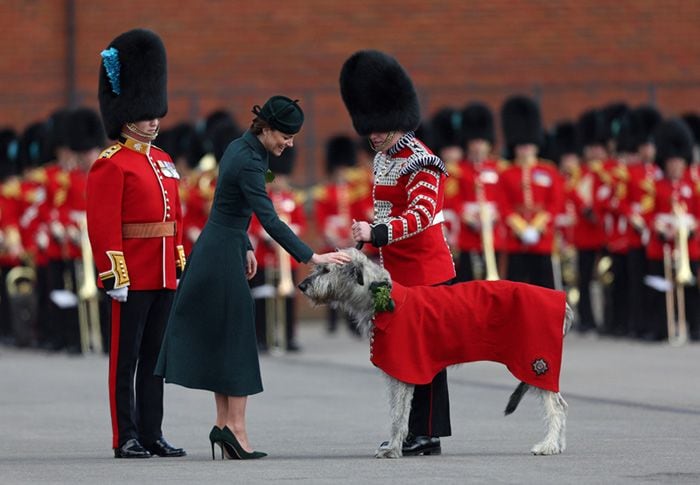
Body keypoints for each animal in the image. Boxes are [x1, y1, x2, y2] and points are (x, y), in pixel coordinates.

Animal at [296, 250, 576, 458]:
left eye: (326, 269)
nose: (301, 285)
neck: (382, 299)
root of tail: (563, 301)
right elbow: (398, 410)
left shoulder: (404, 368)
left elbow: (398, 415)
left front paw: (393, 449)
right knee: (562, 404)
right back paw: (559, 445)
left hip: (536, 362)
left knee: (555, 407)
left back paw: (548, 445)